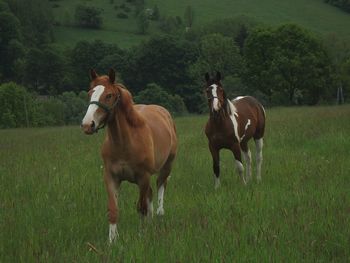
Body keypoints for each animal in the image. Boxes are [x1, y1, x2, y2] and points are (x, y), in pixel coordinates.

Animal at [80, 68, 176, 243]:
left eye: (109, 95)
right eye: (90, 93)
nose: (87, 125)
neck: (125, 142)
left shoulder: (143, 177)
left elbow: (141, 207)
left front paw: (142, 234)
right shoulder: (111, 177)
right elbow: (113, 209)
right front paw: (112, 240)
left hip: (167, 166)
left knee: (160, 185)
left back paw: (159, 214)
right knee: (150, 193)